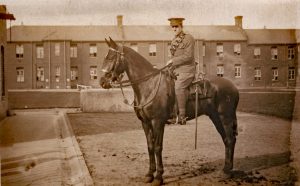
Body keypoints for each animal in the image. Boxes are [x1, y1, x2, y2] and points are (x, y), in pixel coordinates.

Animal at [100, 37, 239, 185]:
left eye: (111, 57)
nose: (102, 81)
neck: (149, 85)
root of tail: (234, 87)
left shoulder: (157, 122)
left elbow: (157, 147)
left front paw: (159, 177)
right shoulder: (145, 123)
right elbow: (150, 146)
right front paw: (149, 174)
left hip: (225, 118)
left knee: (230, 139)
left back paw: (227, 172)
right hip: (216, 117)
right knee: (227, 139)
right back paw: (226, 169)